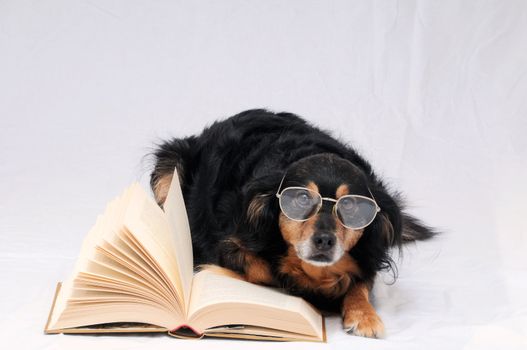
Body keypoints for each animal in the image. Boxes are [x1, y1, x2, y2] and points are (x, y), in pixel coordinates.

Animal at [148, 108, 434, 336]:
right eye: (301, 199)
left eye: (350, 205)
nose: (324, 241)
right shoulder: (230, 244)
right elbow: (264, 272)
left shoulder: (370, 255)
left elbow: (360, 283)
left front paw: (364, 315)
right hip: (170, 165)